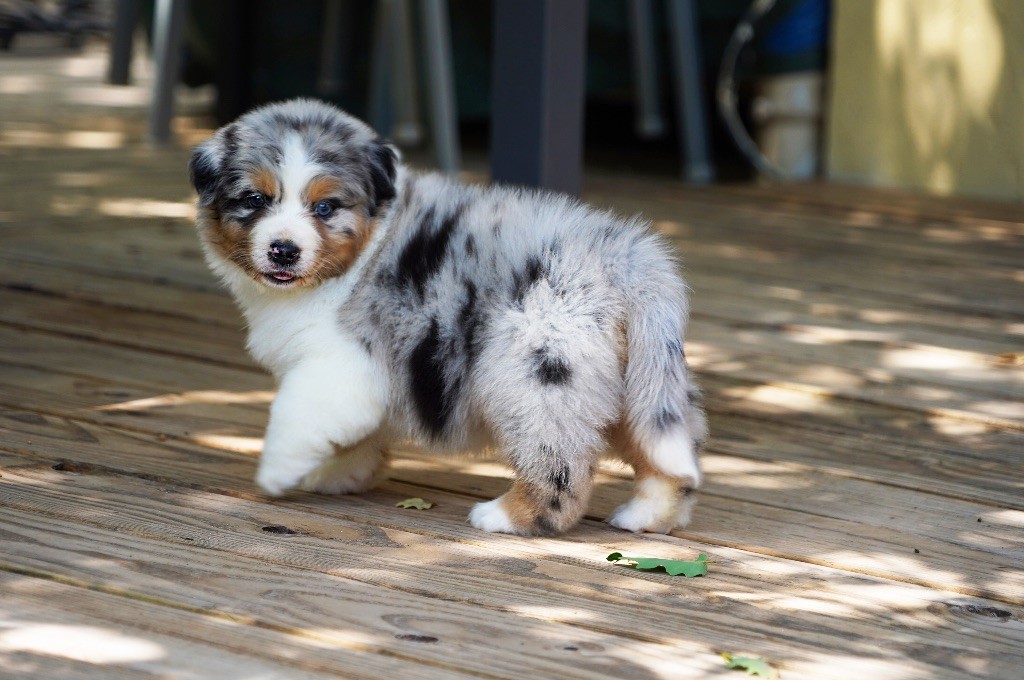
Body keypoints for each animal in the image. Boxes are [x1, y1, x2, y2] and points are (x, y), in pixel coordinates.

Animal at [190, 99, 704, 536]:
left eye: (325, 207)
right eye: (255, 199)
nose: (284, 250)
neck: (364, 245)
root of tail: (623, 257)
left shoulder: (339, 362)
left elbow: (294, 413)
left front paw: (277, 472)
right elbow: (355, 434)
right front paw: (340, 473)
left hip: (535, 374)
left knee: (562, 463)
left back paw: (508, 515)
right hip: (633, 379)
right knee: (668, 449)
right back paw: (647, 514)